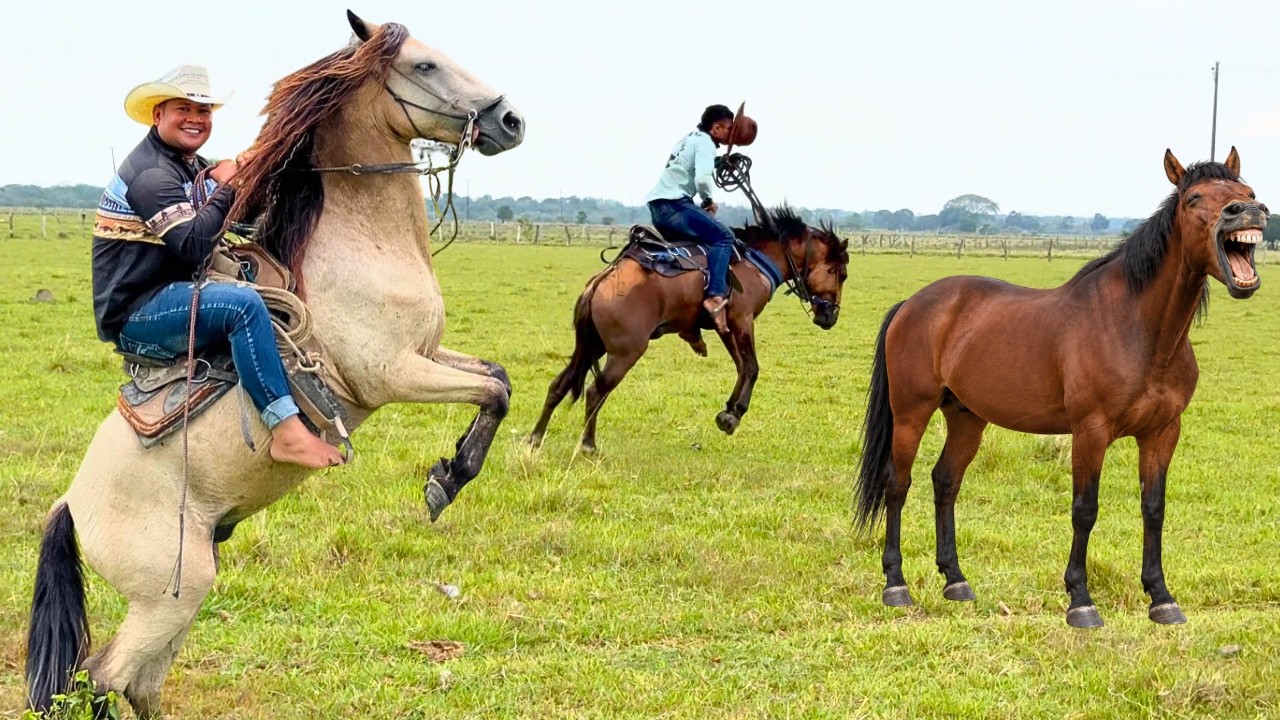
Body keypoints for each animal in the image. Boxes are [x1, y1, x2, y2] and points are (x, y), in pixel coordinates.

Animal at [25, 11, 524, 716]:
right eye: (424, 65)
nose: (510, 119)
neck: (359, 245)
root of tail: (69, 504)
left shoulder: (428, 354)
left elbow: (498, 378)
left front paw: (450, 469)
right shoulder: (394, 373)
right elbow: (492, 393)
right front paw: (445, 482)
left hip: (184, 594)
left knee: (136, 682)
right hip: (171, 592)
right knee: (102, 676)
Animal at [528, 206, 850, 453]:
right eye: (840, 273)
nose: (830, 316)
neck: (754, 261)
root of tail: (600, 282)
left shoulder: (725, 326)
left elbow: (742, 366)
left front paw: (728, 411)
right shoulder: (742, 320)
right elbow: (753, 367)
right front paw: (734, 415)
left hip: (590, 346)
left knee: (559, 385)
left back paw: (535, 439)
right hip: (624, 352)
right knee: (596, 392)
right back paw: (588, 446)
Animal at [854, 147, 1266, 628]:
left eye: (1247, 192)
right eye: (1194, 198)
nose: (1246, 212)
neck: (1138, 330)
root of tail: (913, 304)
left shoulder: (1162, 433)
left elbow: (1154, 508)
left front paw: (1161, 598)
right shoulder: (1090, 431)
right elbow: (1084, 510)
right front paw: (1080, 601)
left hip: (966, 417)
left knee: (945, 482)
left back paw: (955, 581)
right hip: (911, 412)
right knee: (897, 483)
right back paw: (895, 585)